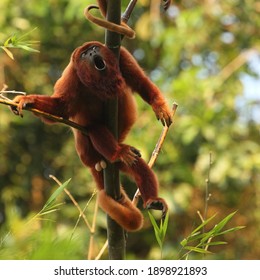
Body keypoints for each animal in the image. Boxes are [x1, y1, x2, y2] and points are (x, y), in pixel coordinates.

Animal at [11, 41, 173, 230]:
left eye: (94, 49)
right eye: (83, 55)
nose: (90, 53)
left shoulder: (121, 55)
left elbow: (141, 82)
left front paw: (160, 107)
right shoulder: (72, 74)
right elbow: (61, 107)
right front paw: (27, 100)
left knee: (138, 166)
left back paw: (153, 200)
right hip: (91, 151)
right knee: (95, 128)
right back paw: (117, 152)